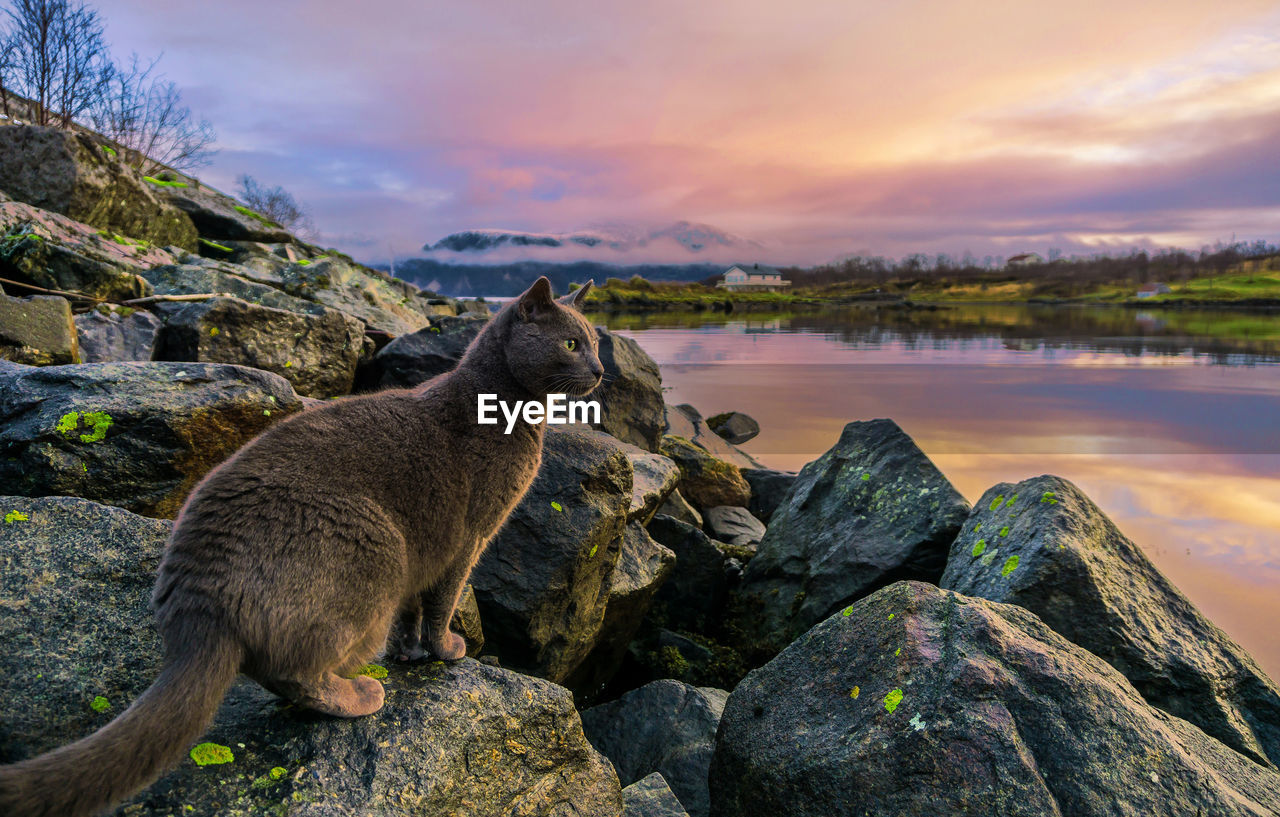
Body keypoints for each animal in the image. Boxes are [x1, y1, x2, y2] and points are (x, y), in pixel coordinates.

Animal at [0, 279, 599, 814]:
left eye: (595, 343)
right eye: (572, 343)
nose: (598, 370)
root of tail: (197, 603)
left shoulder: (430, 550)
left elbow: (414, 611)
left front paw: (410, 653)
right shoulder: (469, 538)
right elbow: (442, 601)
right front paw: (448, 650)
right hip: (377, 548)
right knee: (297, 672)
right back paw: (362, 695)